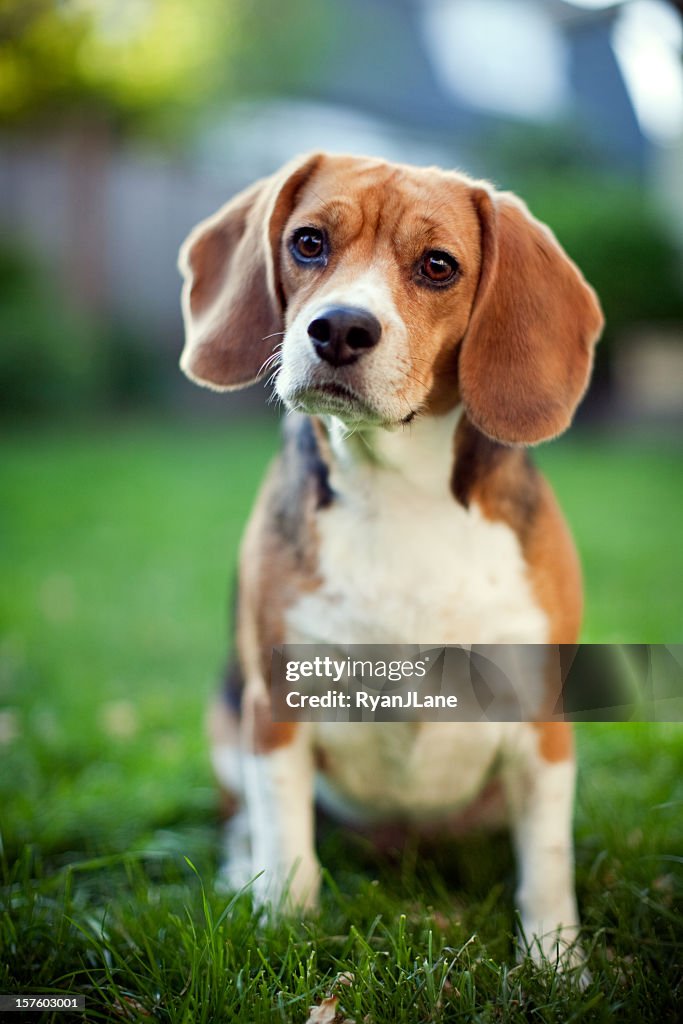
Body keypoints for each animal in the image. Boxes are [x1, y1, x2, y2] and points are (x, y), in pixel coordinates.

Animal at [178, 149, 602, 966]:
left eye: (438, 266)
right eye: (308, 242)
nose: (340, 328)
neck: (398, 490)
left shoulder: (541, 717)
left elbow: (546, 861)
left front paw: (556, 964)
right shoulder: (275, 704)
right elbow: (287, 841)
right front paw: (284, 929)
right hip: (226, 711)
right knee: (244, 817)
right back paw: (240, 870)